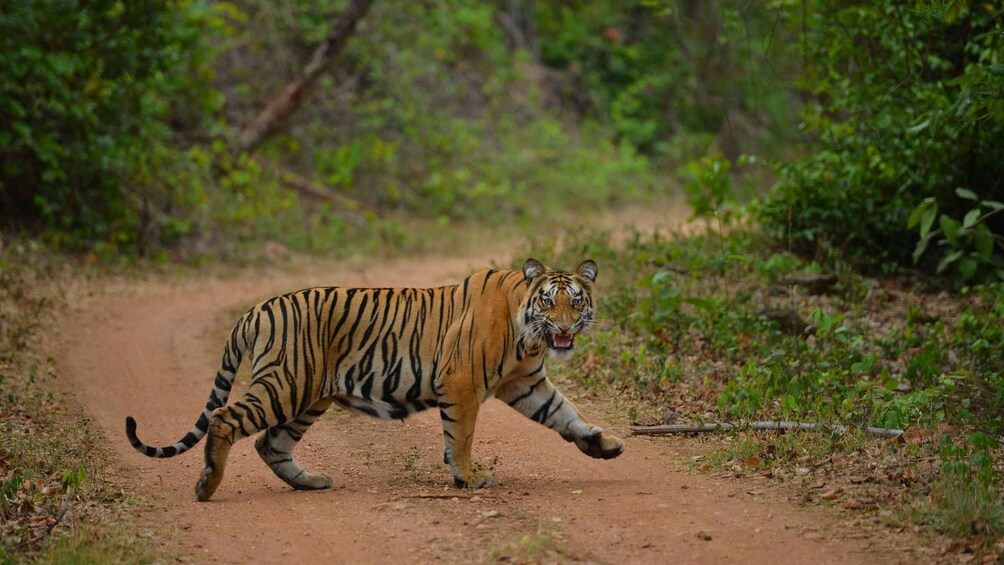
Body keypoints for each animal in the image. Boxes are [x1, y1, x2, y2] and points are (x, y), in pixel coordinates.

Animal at [123, 258, 626, 501]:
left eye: (577, 301)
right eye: (548, 301)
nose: (564, 330)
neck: (529, 337)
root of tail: (256, 308)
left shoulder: (525, 383)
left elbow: (565, 413)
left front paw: (603, 445)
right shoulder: (462, 383)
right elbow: (461, 435)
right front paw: (468, 476)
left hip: (310, 397)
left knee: (271, 443)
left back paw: (310, 482)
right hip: (286, 384)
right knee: (226, 418)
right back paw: (207, 485)